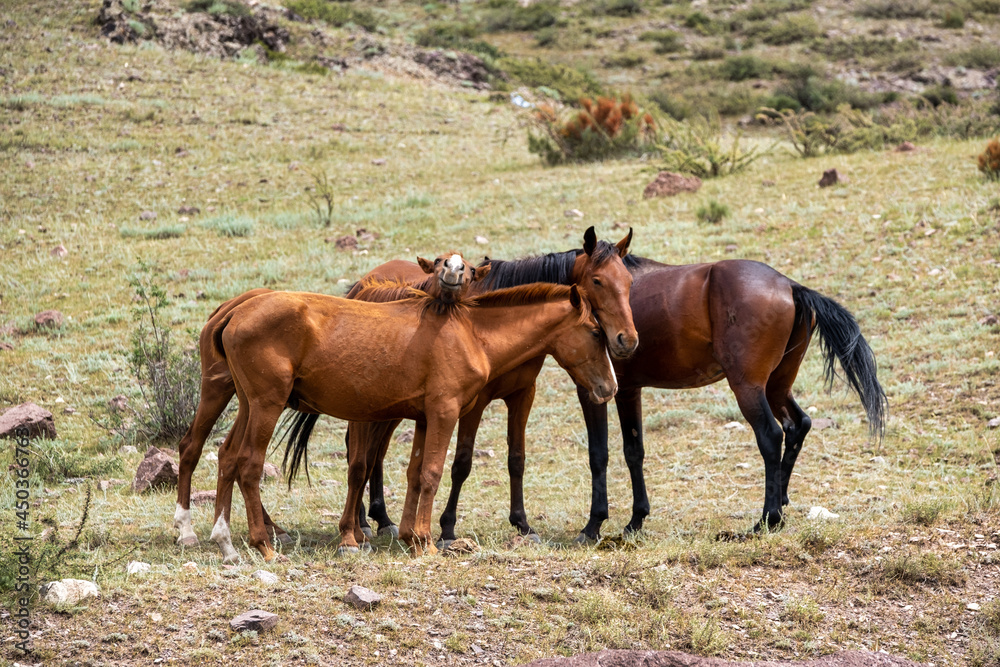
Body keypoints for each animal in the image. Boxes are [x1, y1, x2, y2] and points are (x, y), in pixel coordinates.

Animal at [171, 250, 484, 548]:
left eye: (469, 269)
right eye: (437, 261)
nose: (453, 272)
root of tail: (231, 310)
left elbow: (373, 463)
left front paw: (364, 529)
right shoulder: (366, 414)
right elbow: (359, 466)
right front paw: (356, 533)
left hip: (243, 400)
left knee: (223, 454)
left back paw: (247, 530)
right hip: (228, 393)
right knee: (200, 449)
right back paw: (194, 531)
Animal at [212, 280, 616, 560]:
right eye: (596, 331)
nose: (609, 387)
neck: (471, 334)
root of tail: (237, 312)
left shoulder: (424, 419)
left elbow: (414, 474)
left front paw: (411, 537)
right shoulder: (444, 413)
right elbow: (433, 474)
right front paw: (427, 541)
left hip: (249, 405)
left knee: (228, 457)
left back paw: (224, 540)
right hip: (267, 406)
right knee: (249, 465)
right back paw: (263, 545)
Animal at [576, 256, 888, 544]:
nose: (625, 339)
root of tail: (789, 285)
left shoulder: (594, 390)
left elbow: (599, 454)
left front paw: (594, 525)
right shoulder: (629, 389)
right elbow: (634, 451)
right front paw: (635, 520)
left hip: (748, 388)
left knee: (771, 435)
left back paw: (768, 519)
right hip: (777, 386)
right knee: (798, 424)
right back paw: (781, 501)